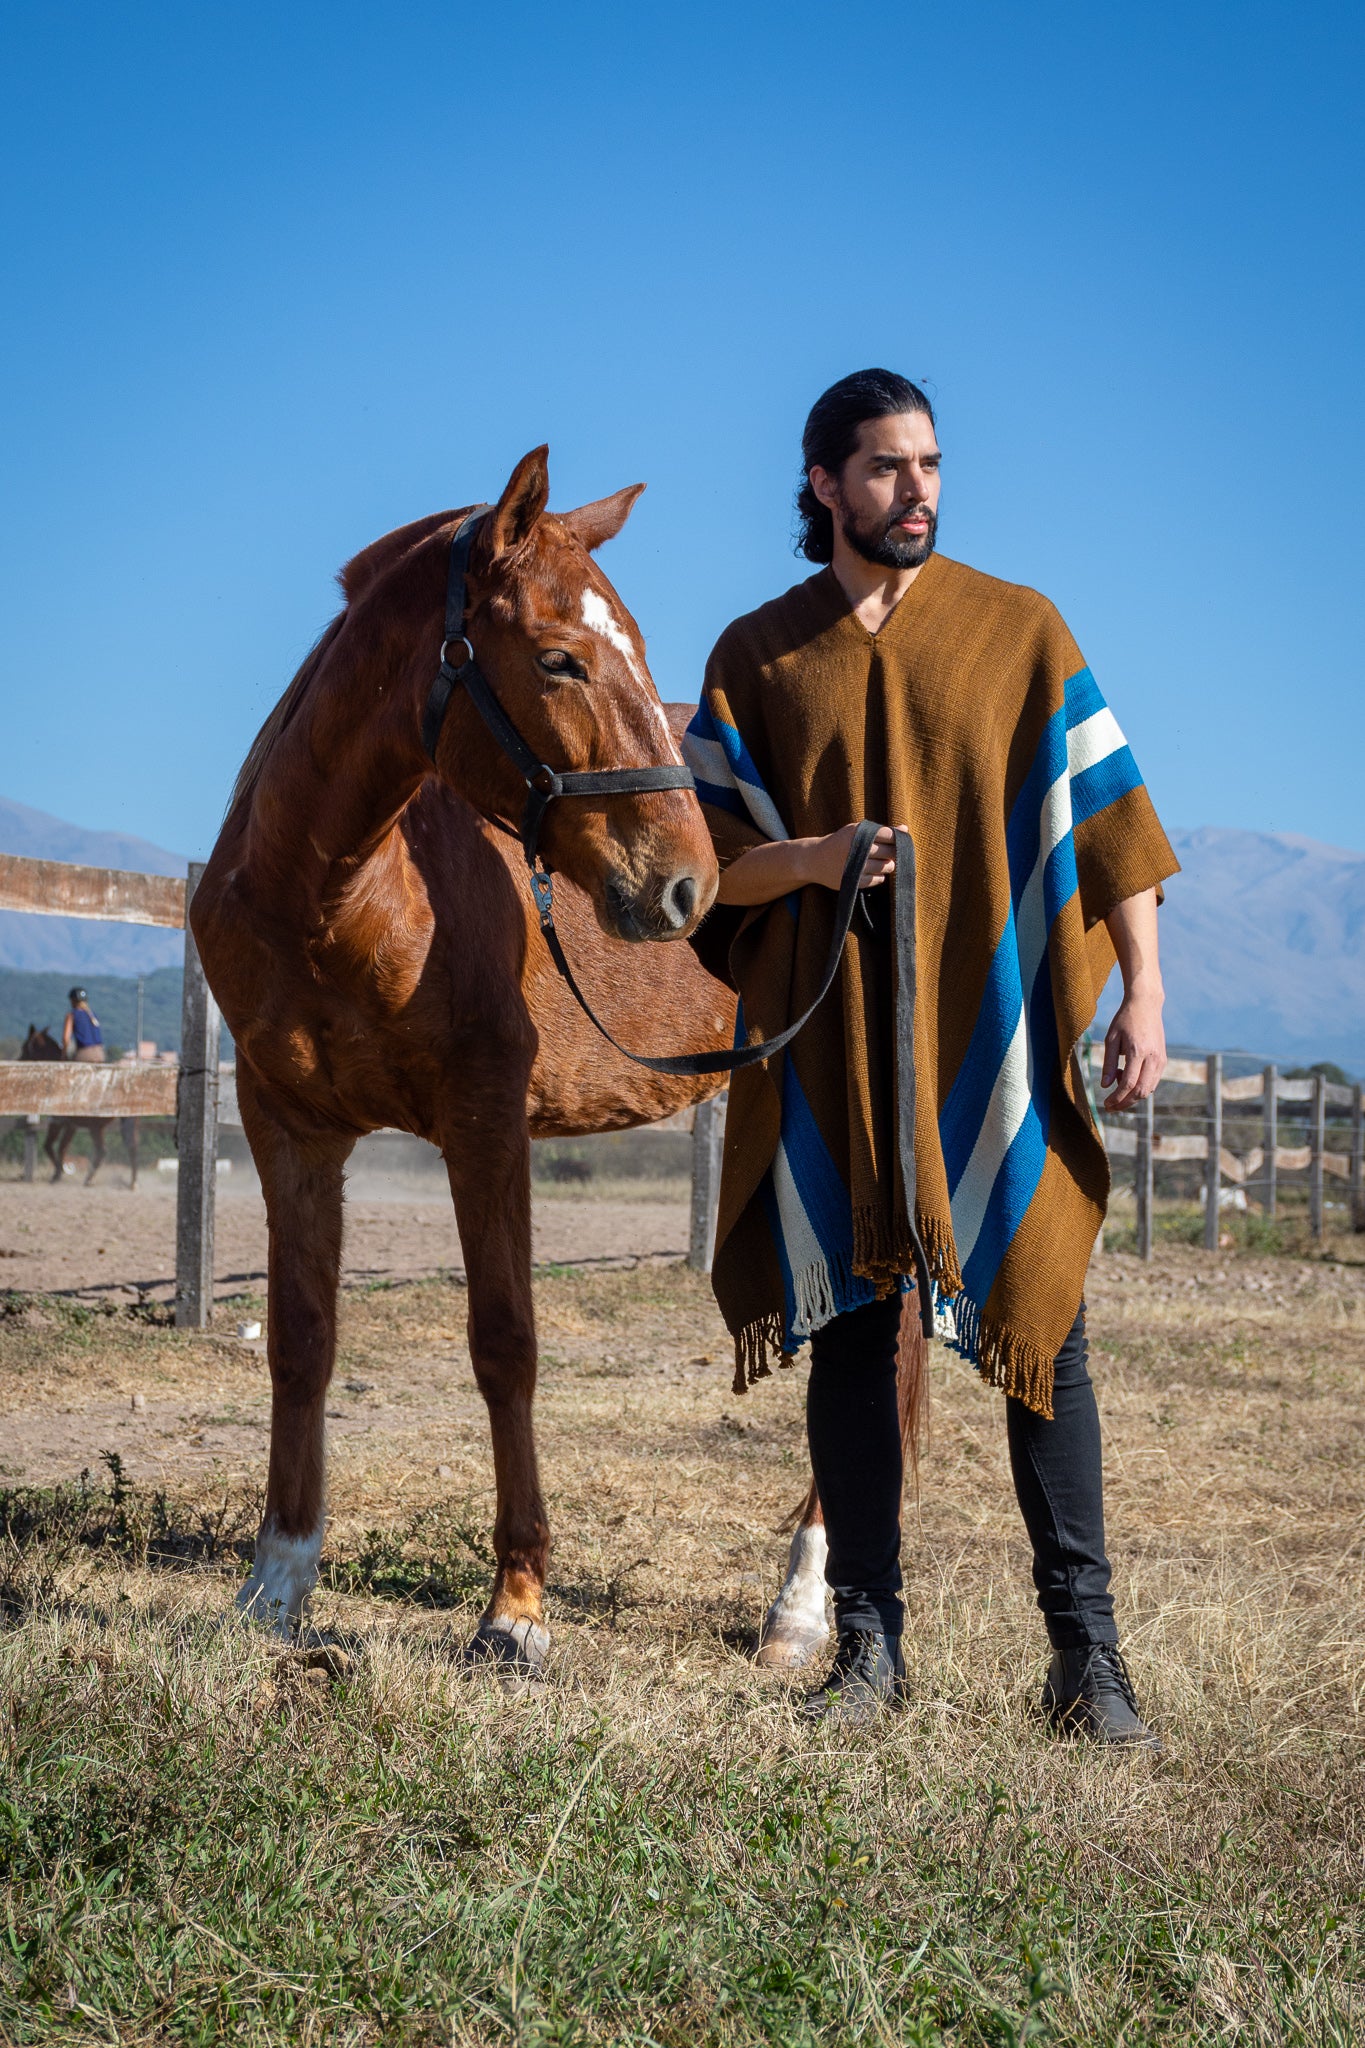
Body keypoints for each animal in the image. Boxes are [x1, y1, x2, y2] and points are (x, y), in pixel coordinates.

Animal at [19, 1019, 140, 1187]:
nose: (18, 1061)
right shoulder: (70, 1125)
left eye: (25, 1047)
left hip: (100, 1126)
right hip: (107, 1126)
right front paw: (58, 1172)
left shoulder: (59, 1122)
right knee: (122, 1147)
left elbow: (51, 1146)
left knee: (109, 1149)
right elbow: (59, 1147)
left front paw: (58, 1173)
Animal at [194, 444, 929, 1662]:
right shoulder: (287, 1126)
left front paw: (517, 1607)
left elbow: (505, 1344)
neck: (337, 895)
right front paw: (275, 1585)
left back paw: (802, 1598)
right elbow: (301, 1341)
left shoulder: (486, 1121)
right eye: (557, 657)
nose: (690, 885)